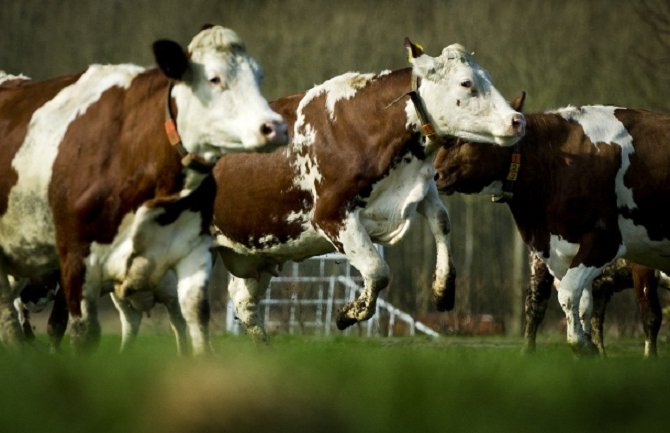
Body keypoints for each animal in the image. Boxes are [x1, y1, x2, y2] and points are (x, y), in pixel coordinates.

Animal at [0, 25, 288, 352]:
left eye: (259, 76)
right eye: (214, 78)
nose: (275, 127)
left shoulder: (191, 253)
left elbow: (194, 322)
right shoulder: (77, 260)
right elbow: (77, 331)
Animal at [213, 38, 528, 340]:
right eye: (466, 83)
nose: (517, 120)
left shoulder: (419, 186)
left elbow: (442, 221)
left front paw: (443, 289)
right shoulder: (332, 216)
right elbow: (378, 272)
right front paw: (349, 313)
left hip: (256, 253)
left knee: (244, 304)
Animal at [528, 253, 668, 358]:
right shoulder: (643, 269)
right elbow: (652, 316)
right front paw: (650, 358)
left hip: (601, 284)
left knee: (594, 318)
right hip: (540, 266)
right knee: (535, 308)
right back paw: (528, 352)